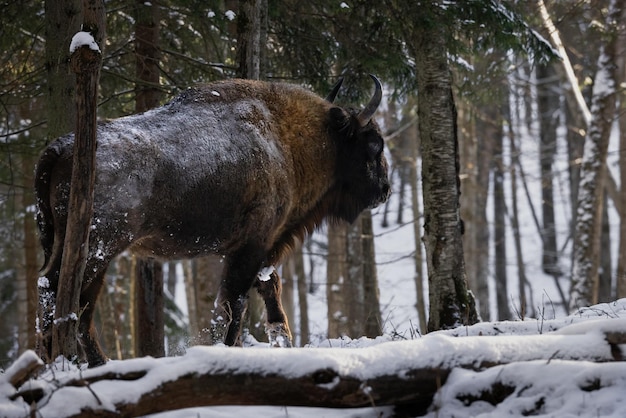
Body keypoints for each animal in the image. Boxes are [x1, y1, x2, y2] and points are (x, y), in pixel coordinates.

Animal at [36, 75, 388, 366]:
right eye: (374, 144)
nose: (384, 189)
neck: (286, 138)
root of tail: (62, 147)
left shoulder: (260, 248)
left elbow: (268, 289)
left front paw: (281, 339)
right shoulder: (254, 244)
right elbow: (236, 303)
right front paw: (231, 349)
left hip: (74, 247)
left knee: (77, 303)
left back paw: (91, 362)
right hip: (97, 248)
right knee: (60, 293)